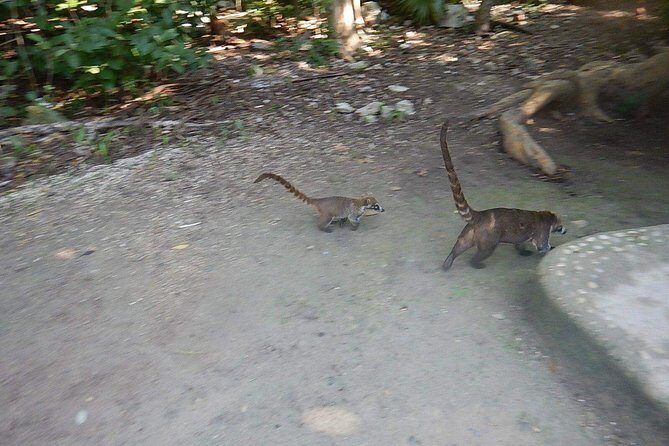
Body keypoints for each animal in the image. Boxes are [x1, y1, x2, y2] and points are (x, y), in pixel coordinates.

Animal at [254, 172, 384, 232]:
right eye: (376, 206)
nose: (383, 209)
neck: (362, 203)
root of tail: (319, 201)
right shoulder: (354, 210)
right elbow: (352, 218)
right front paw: (355, 226)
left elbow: (347, 217)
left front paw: (343, 222)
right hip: (327, 213)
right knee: (325, 220)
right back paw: (323, 227)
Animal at [439, 122, 566, 270]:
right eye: (561, 225)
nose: (565, 231)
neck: (547, 216)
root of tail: (481, 215)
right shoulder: (542, 231)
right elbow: (542, 246)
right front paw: (551, 249)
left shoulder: (522, 236)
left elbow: (519, 243)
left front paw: (522, 250)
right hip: (489, 238)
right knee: (484, 251)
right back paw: (475, 263)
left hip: (470, 232)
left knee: (460, 245)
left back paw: (449, 260)